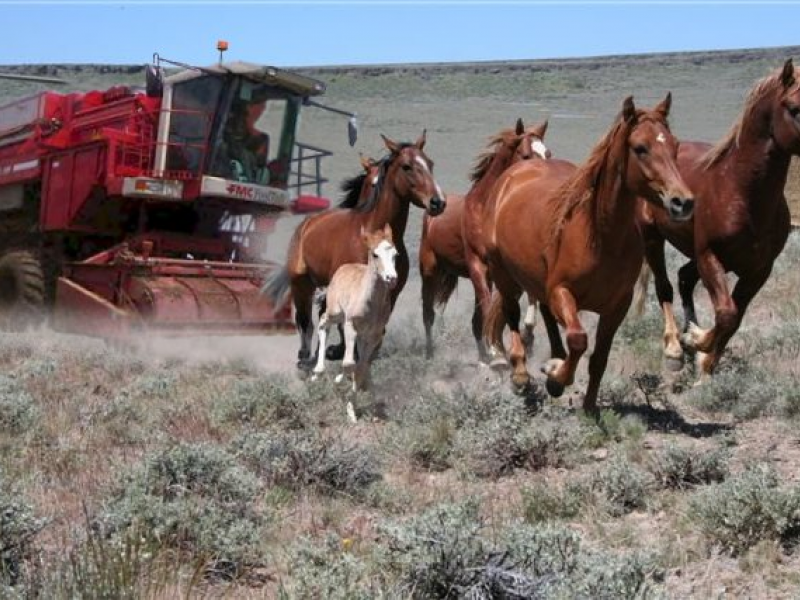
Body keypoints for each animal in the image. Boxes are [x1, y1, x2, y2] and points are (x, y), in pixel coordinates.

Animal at [264, 132, 446, 370]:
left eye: (430, 163)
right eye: (407, 166)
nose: (438, 202)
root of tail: (307, 224)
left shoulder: (391, 293)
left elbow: (376, 330)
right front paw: (339, 353)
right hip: (301, 282)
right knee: (305, 321)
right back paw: (305, 358)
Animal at [418, 118, 552, 360]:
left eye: (548, 153)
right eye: (526, 155)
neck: (486, 209)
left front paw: (527, 338)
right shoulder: (478, 266)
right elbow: (490, 310)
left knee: (473, 321)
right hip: (429, 270)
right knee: (428, 314)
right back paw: (430, 353)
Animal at [482, 95, 692, 412]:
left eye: (675, 145)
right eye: (640, 148)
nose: (683, 202)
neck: (599, 236)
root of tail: (512, 175)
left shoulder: (617, 305)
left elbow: (599, 358)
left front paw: (589, 406)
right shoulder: (562, 292)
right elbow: (579, 340)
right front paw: (556, 379)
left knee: (544, 315)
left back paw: (553, 359)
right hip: (504, 274)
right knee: (512, 314)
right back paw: (520, 375)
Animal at [636, 62, 800, 380]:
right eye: (794, 107)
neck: (741, 192)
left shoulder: (759, 269)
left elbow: (735, 317)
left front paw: (705, 363)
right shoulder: (710, 255)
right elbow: (726, 313)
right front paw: (696, 341)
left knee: (684, 278)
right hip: (652, 238)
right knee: (665, 286)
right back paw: (674, 349)